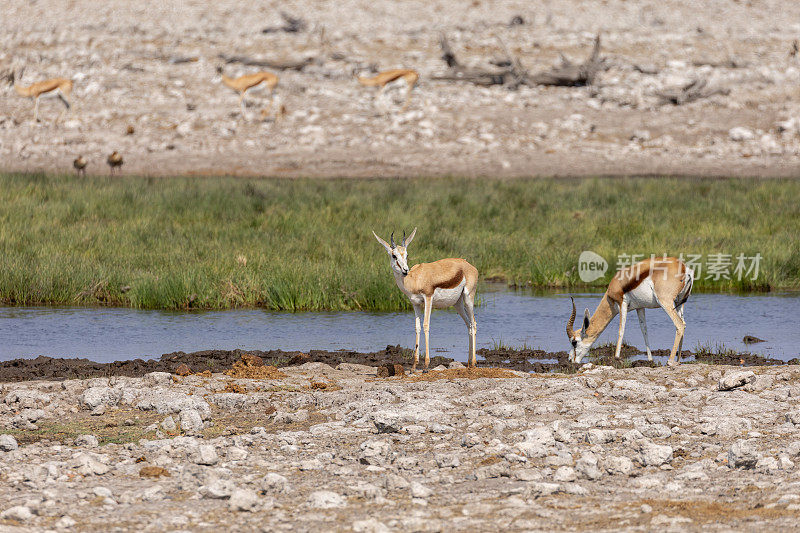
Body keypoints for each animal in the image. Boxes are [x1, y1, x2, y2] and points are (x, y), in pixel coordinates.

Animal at [374, 225, 478, 370]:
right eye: (394, 255)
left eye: (407, 254)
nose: (405, 270)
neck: (414, 279)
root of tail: (469, 265)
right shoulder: (415, 303)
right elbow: (417, 327)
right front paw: (413, 366)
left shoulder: (428, 298)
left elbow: (426, 325)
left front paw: (426, 365)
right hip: (457, 304)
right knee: (468, 325)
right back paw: (468, 363)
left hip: (468, 298)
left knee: (474, 324)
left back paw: (473, 362)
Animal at [564, 256, 692, 366]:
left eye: (574, 342)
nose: (570, 360)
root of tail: (684, 268)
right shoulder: (640, 307)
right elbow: (644, 331)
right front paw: (650, 360)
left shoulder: (622, 304)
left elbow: (621, 330)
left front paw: (616, 358)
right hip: (679, 303)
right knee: (684, 323)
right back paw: (678, 360)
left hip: (666, 302)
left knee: (679, 324)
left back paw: (670, 361)